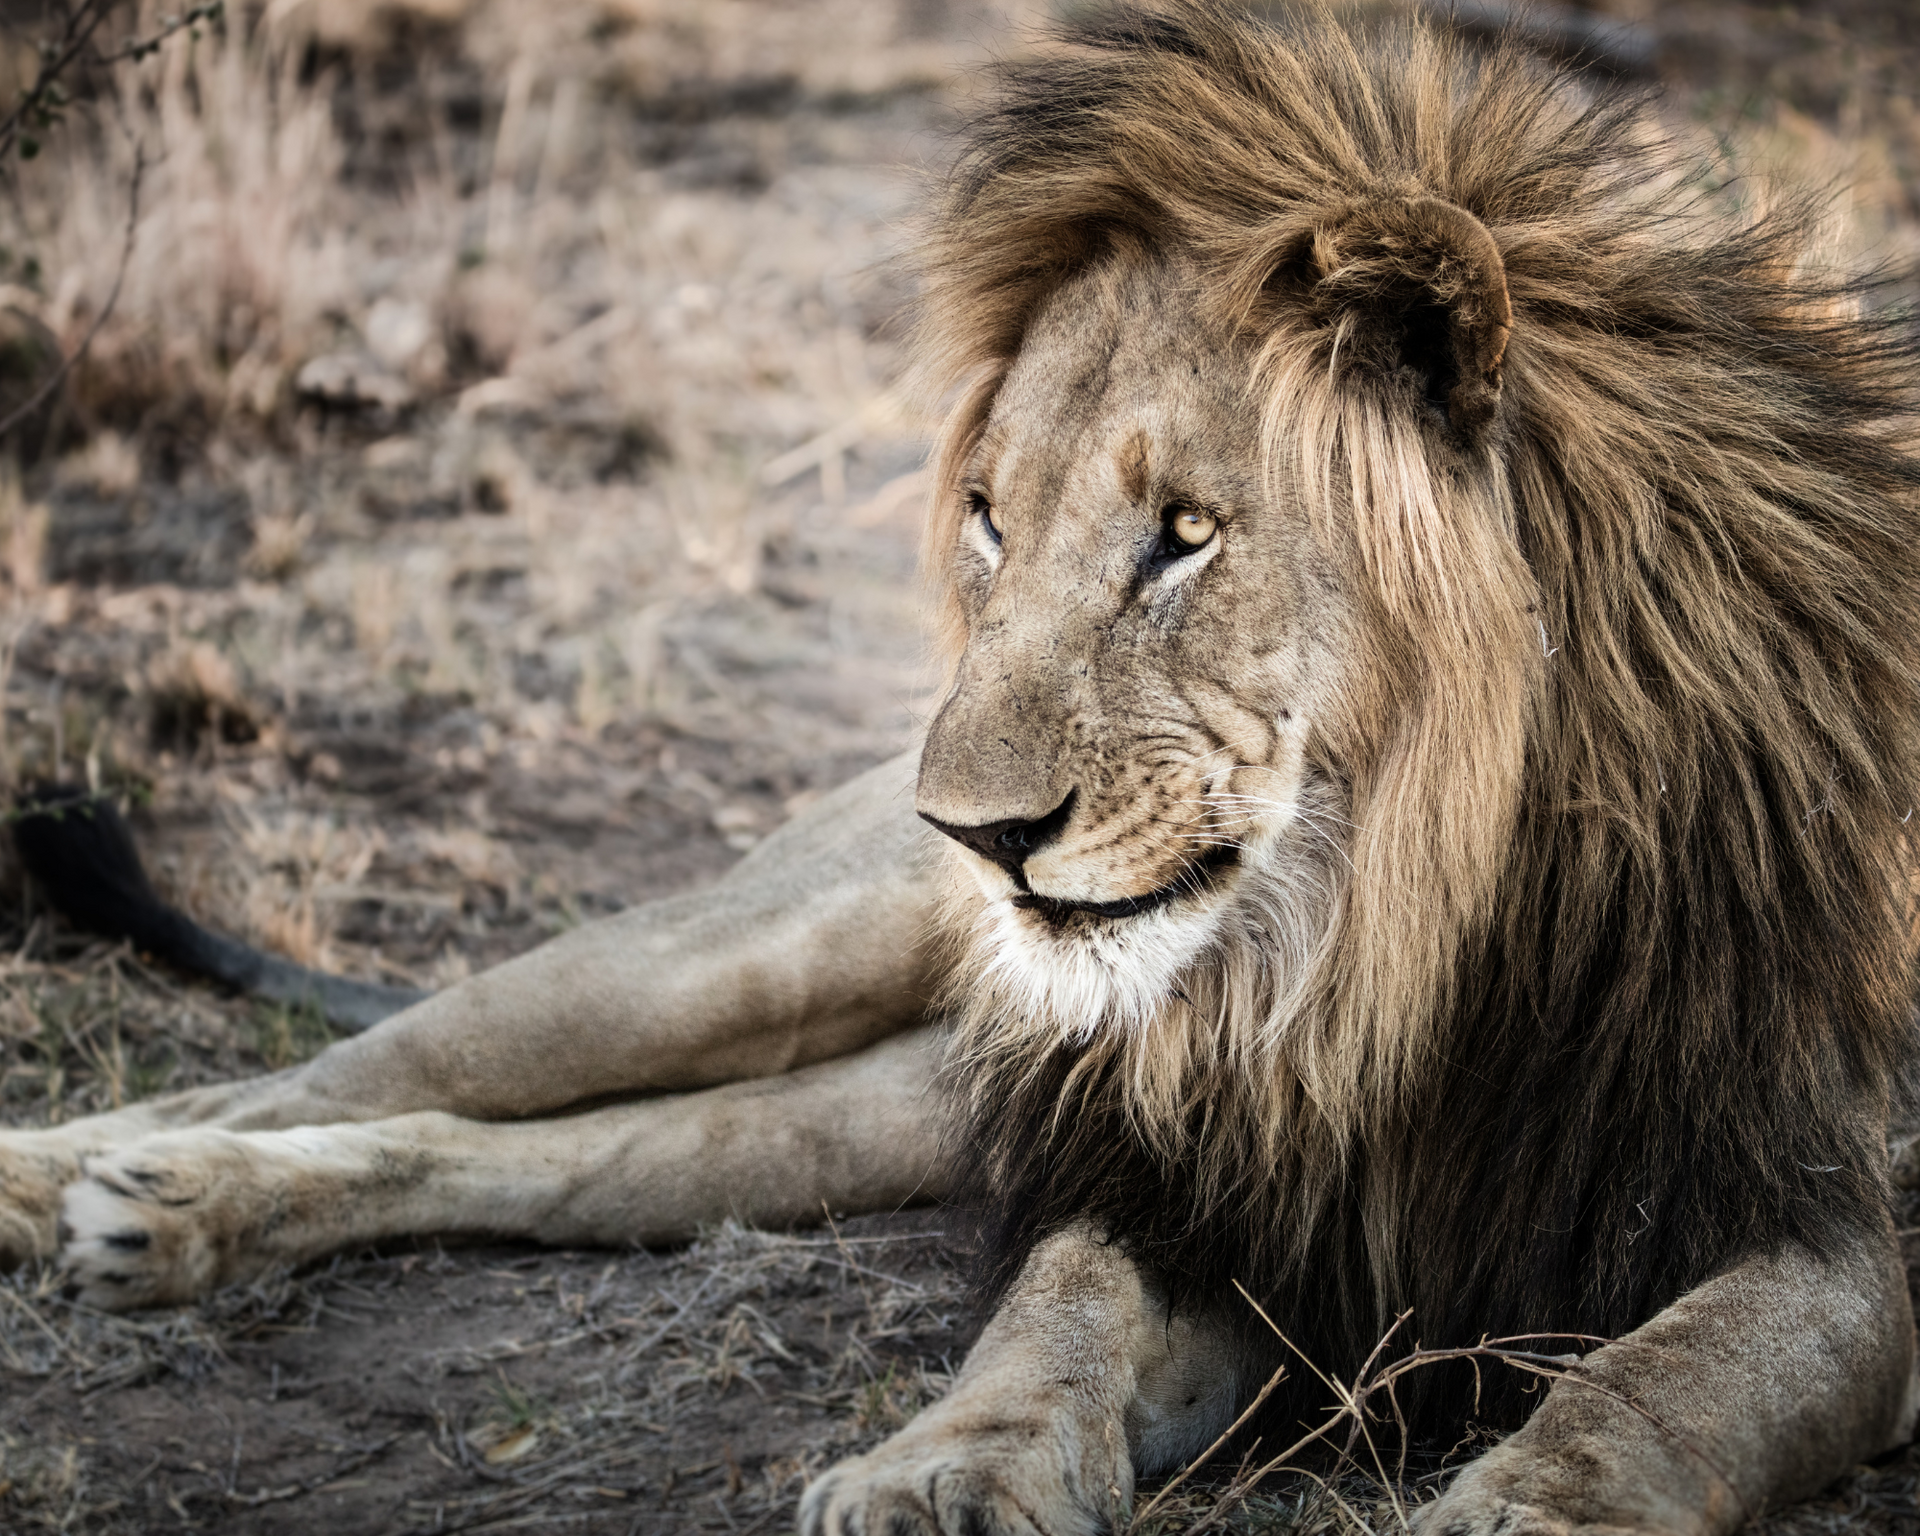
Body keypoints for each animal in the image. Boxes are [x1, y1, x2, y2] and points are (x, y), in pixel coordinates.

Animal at [5, 6, 1920, 1532]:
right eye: (991, 519)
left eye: (1187, 534)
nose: (972, 836)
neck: (1394, 942)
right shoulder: (1170, 1182)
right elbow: (1053, 1310)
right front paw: (950, 1466)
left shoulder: (1835, 1225)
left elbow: (1668, 1382)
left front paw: (1540, 1502)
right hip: (743, 959)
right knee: (367, 1068)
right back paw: (99, 1183)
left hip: (874, 1111)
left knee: (549, 1158)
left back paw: (165, 1216)